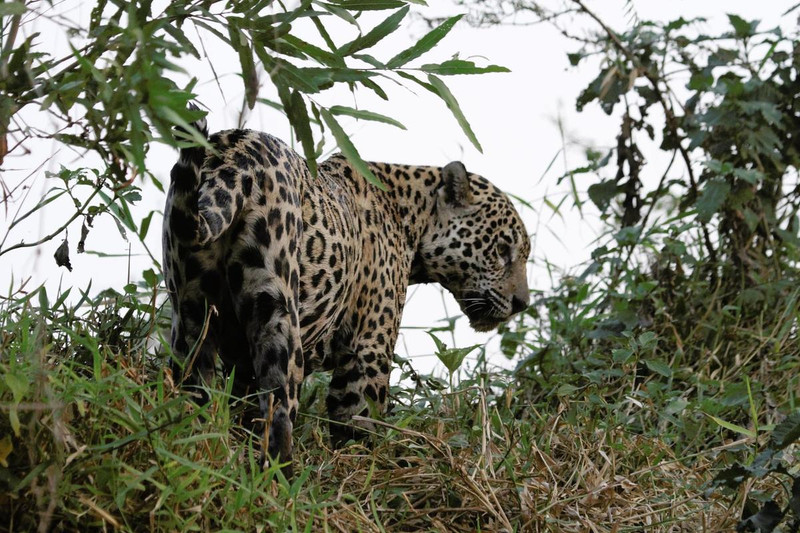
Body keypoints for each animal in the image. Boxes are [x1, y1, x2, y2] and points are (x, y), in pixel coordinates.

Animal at [162, 112, 530, 476]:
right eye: (502, 249)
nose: (521, 304)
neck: (412, 217)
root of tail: (233, 149)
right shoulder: (367, 345)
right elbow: (358, 420)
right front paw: (364, 467)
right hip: (278, 313)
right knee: (278, 408)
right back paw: (278, 478)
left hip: (190, 310)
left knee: (194, 389)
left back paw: (197, 453)